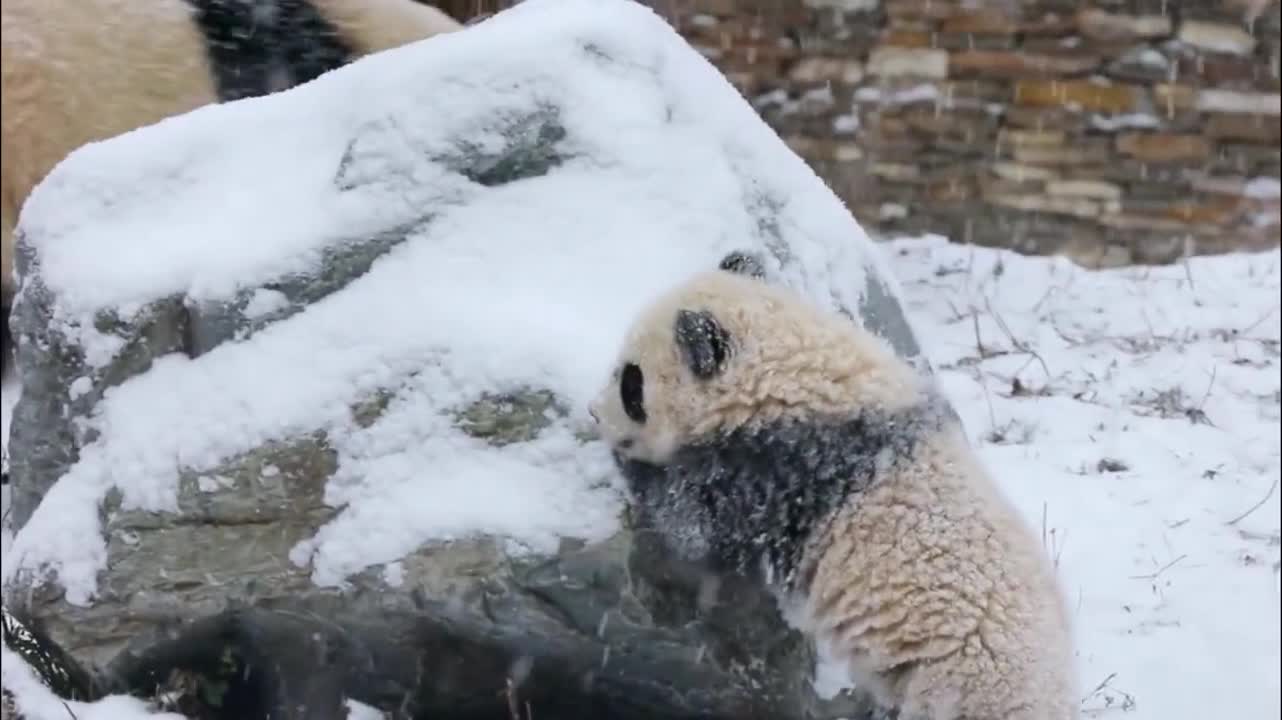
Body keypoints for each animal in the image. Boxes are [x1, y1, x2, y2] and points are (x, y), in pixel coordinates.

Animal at [589, 251, 1082, 712]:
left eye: (631, 384)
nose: (596, 412)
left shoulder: (782, 469)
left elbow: (693, 527)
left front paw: (631, 462)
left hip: (958, 685)